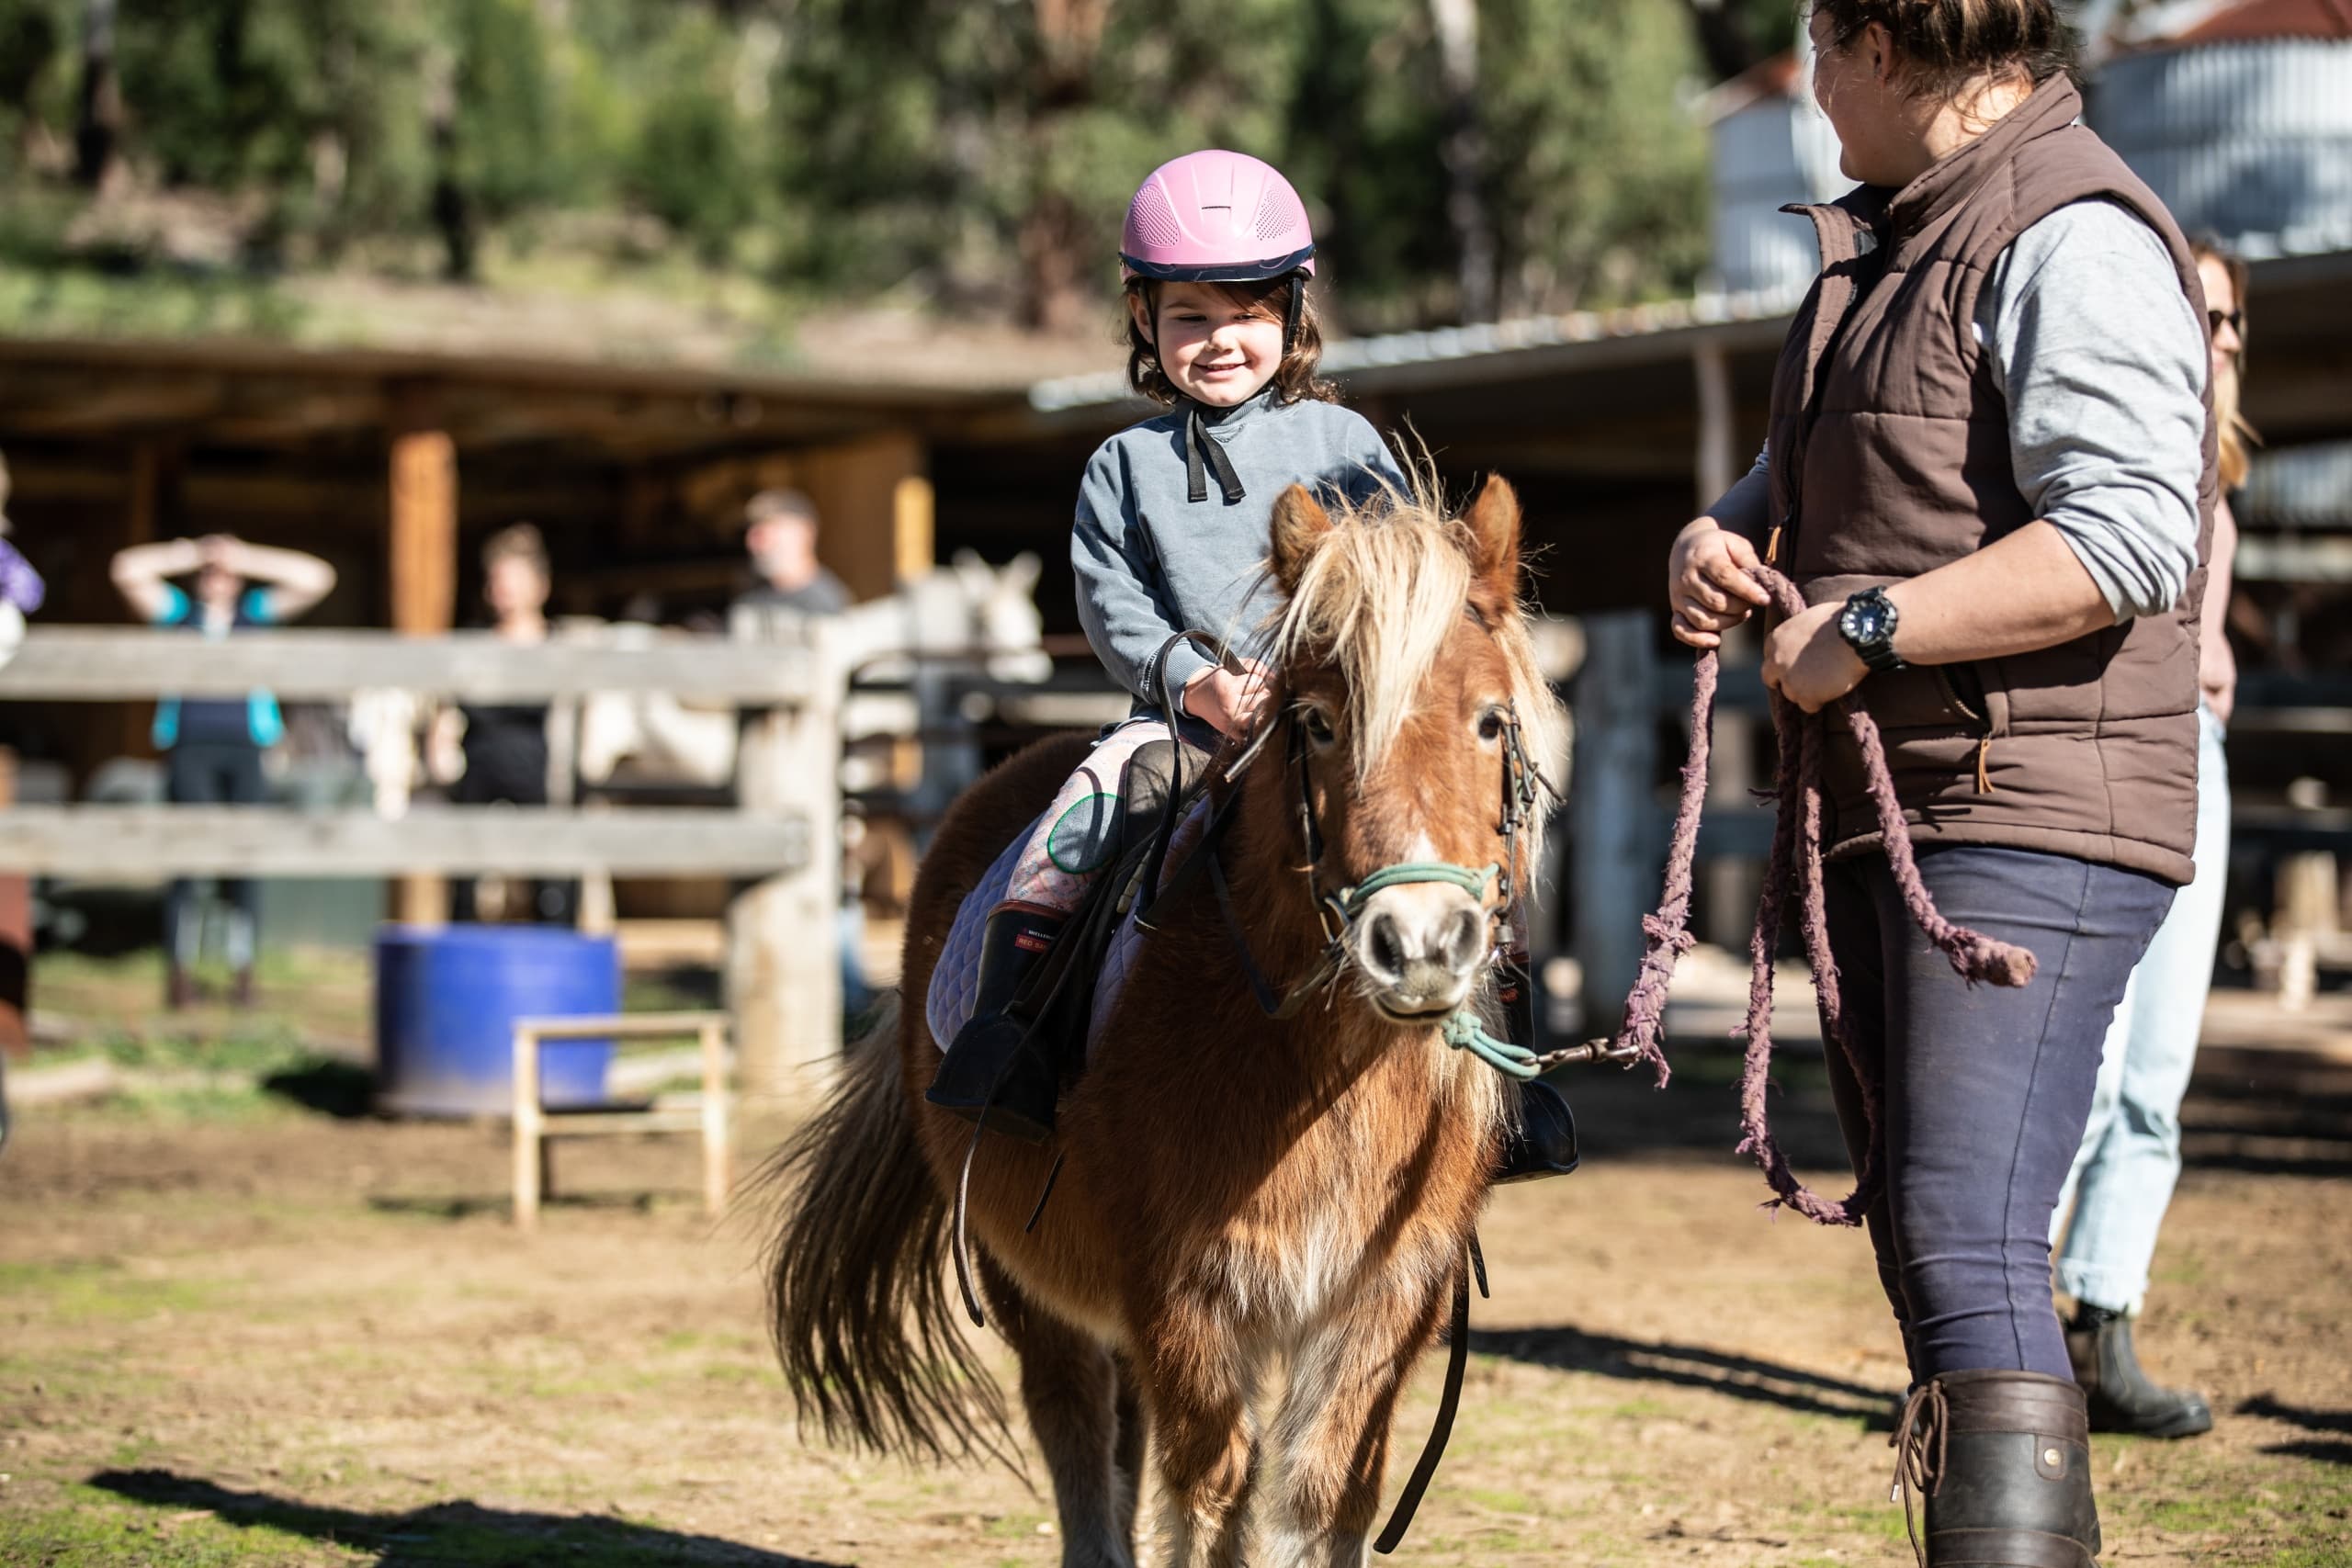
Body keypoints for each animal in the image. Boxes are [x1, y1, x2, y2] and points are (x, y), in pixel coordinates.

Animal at [764, 474, 1565, 1568]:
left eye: (1490, 721)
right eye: (1317, 722)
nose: (1418, 943)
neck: (1317, 1069)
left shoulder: (1384, 1303)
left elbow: (1325, 1501)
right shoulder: (1183, 1295)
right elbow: (1210, 1499)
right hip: (1026, 1275)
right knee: (1074, 1424)